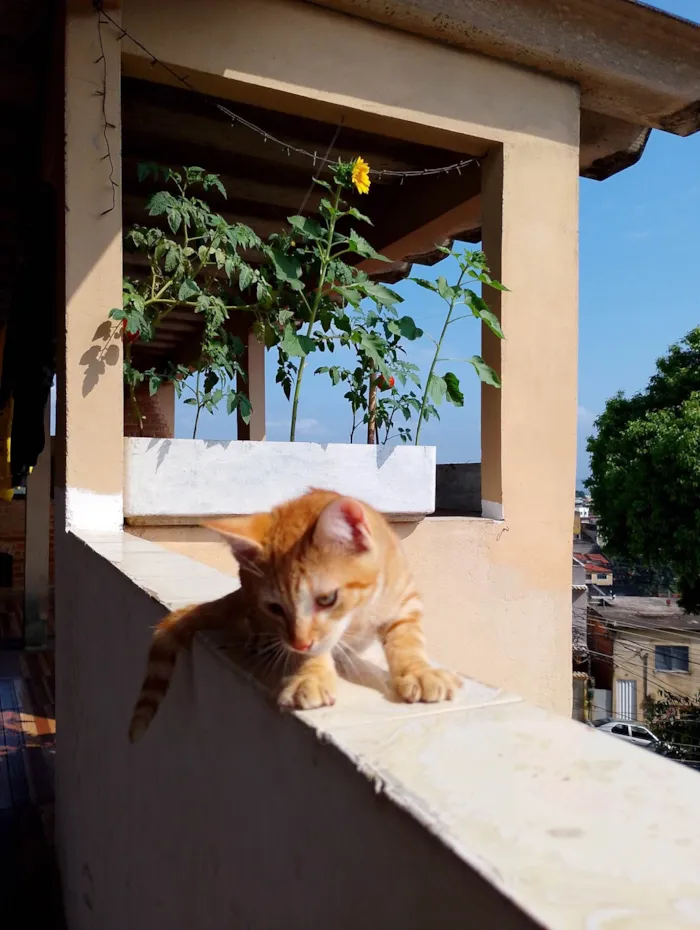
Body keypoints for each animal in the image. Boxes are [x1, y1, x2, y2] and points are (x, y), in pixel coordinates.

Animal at [129, 486, 462, 740]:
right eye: (275, 608)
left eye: (327, 599)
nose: (299, 642)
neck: (357, 616)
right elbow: (313, 653)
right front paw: (310, 677)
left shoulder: (404, 600)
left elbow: (407, 639)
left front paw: (419, 672)